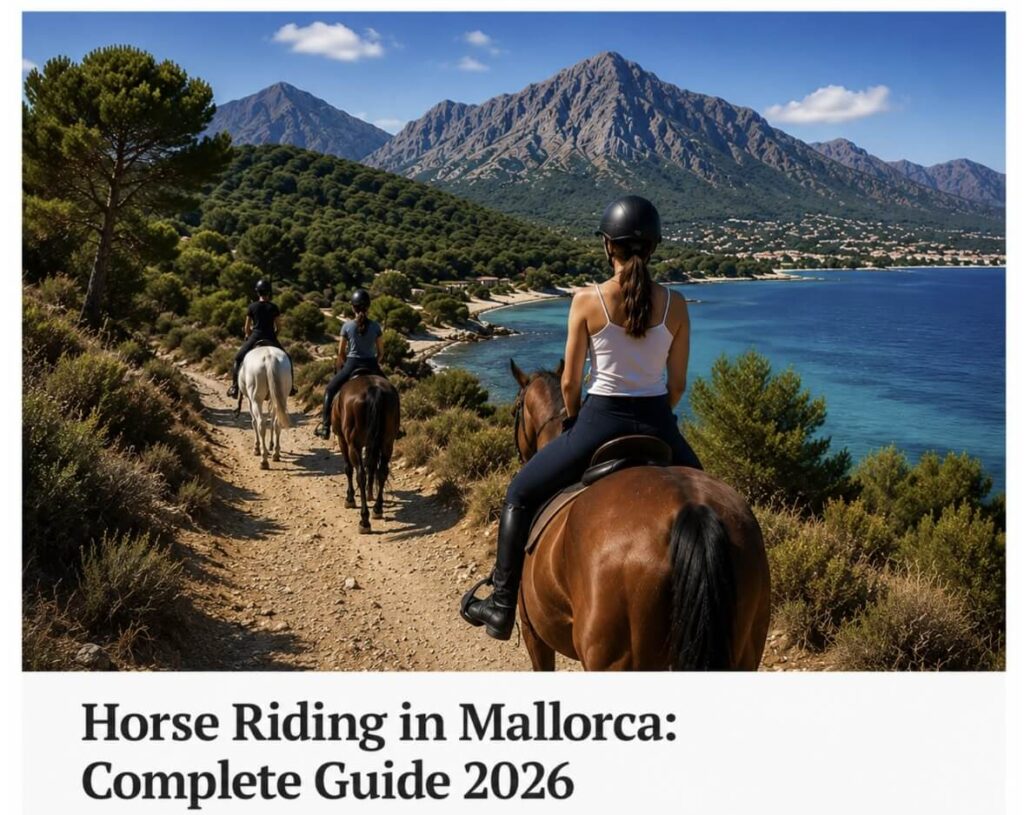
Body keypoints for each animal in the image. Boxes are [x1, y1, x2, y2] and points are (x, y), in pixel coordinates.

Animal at [331, 370, 401, 533]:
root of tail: (374, 390)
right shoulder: (371, 444)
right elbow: (372, 467)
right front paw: (370, 495)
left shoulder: (342, 440)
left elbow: (348, 469)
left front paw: (350, 498)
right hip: (387, 442)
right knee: (382, 472)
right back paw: (377, 509)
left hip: (353, 445)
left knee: (360, 475)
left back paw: (364, 520)